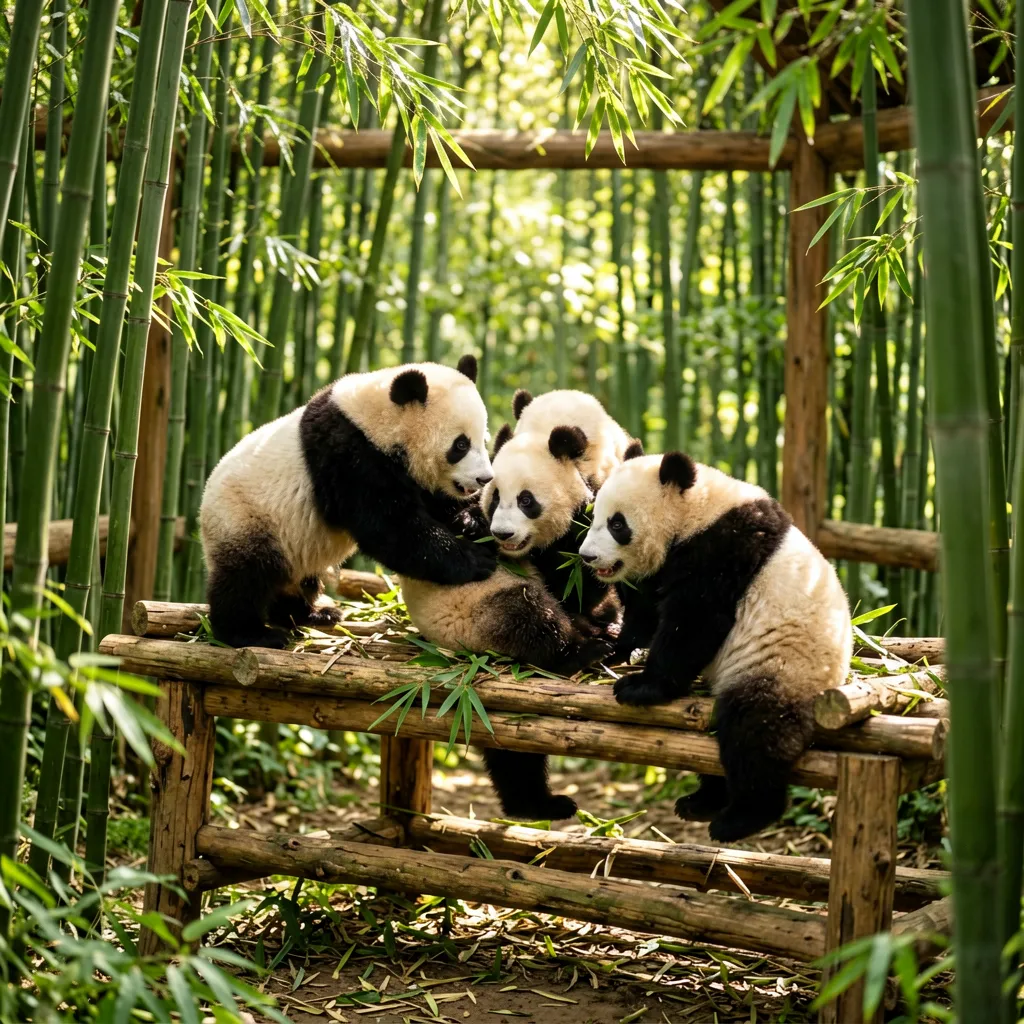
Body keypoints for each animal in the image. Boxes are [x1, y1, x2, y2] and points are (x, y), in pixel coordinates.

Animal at [200, 357, 496, 649]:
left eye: (484, 440)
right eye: (460, 445)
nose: (484, 478)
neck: (374, 422)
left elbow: (436, 504)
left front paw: (472, 521)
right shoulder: (348, 456)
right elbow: (388, 528)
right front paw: (476, 558)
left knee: (299, 579)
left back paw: (311, 613)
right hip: (247, 518)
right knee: (246, 578)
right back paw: (249, 633)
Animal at [579, 450, 852, 842]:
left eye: (617, 524)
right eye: (595, 514)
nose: (586, 557)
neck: (696, 511)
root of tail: (835, 683)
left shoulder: (723, 550)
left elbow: (695, 621)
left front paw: (639, 686)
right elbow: (647, 612)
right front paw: (610, 650)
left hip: (784, 669)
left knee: (753, 733)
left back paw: (739, 818)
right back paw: (700, 801)